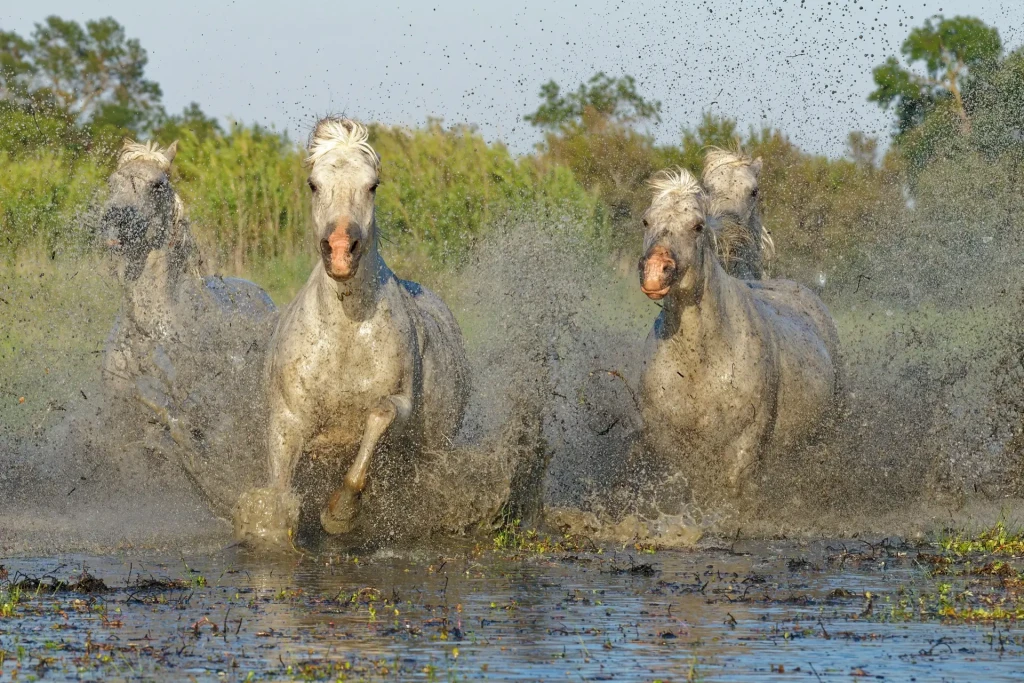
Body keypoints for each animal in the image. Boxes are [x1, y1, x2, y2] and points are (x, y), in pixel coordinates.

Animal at [233, 117, 470, 546]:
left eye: (372, 184)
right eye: (313, 184)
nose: (342, 250)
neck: (345, 333)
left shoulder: (398, 403)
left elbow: (378, 416)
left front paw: (339, 514)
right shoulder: (289, 417)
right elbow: (277, 492)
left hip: (433, 451)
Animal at [636, 167, 840, 505]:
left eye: (697, 225)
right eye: (646, 221)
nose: (655, 271)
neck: (697, 363)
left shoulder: (745, 440)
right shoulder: (665, 438)